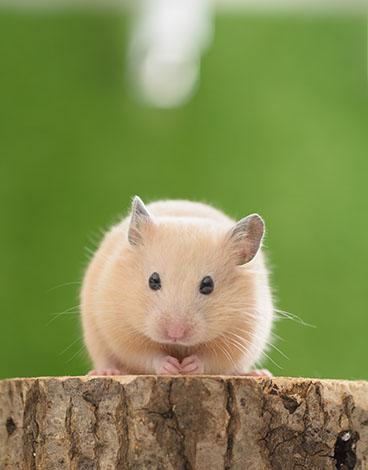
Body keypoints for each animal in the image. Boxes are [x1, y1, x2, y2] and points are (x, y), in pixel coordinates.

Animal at [80, 196, 274, 376]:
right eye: (153, 280)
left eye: (208, 285)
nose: (175, 334)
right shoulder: (120, 330)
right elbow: (146, 355)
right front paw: (171, 367)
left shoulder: (242, 334)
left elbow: (211, 360)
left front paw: (188, 367)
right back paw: (106, 372)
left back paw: (257, 373)